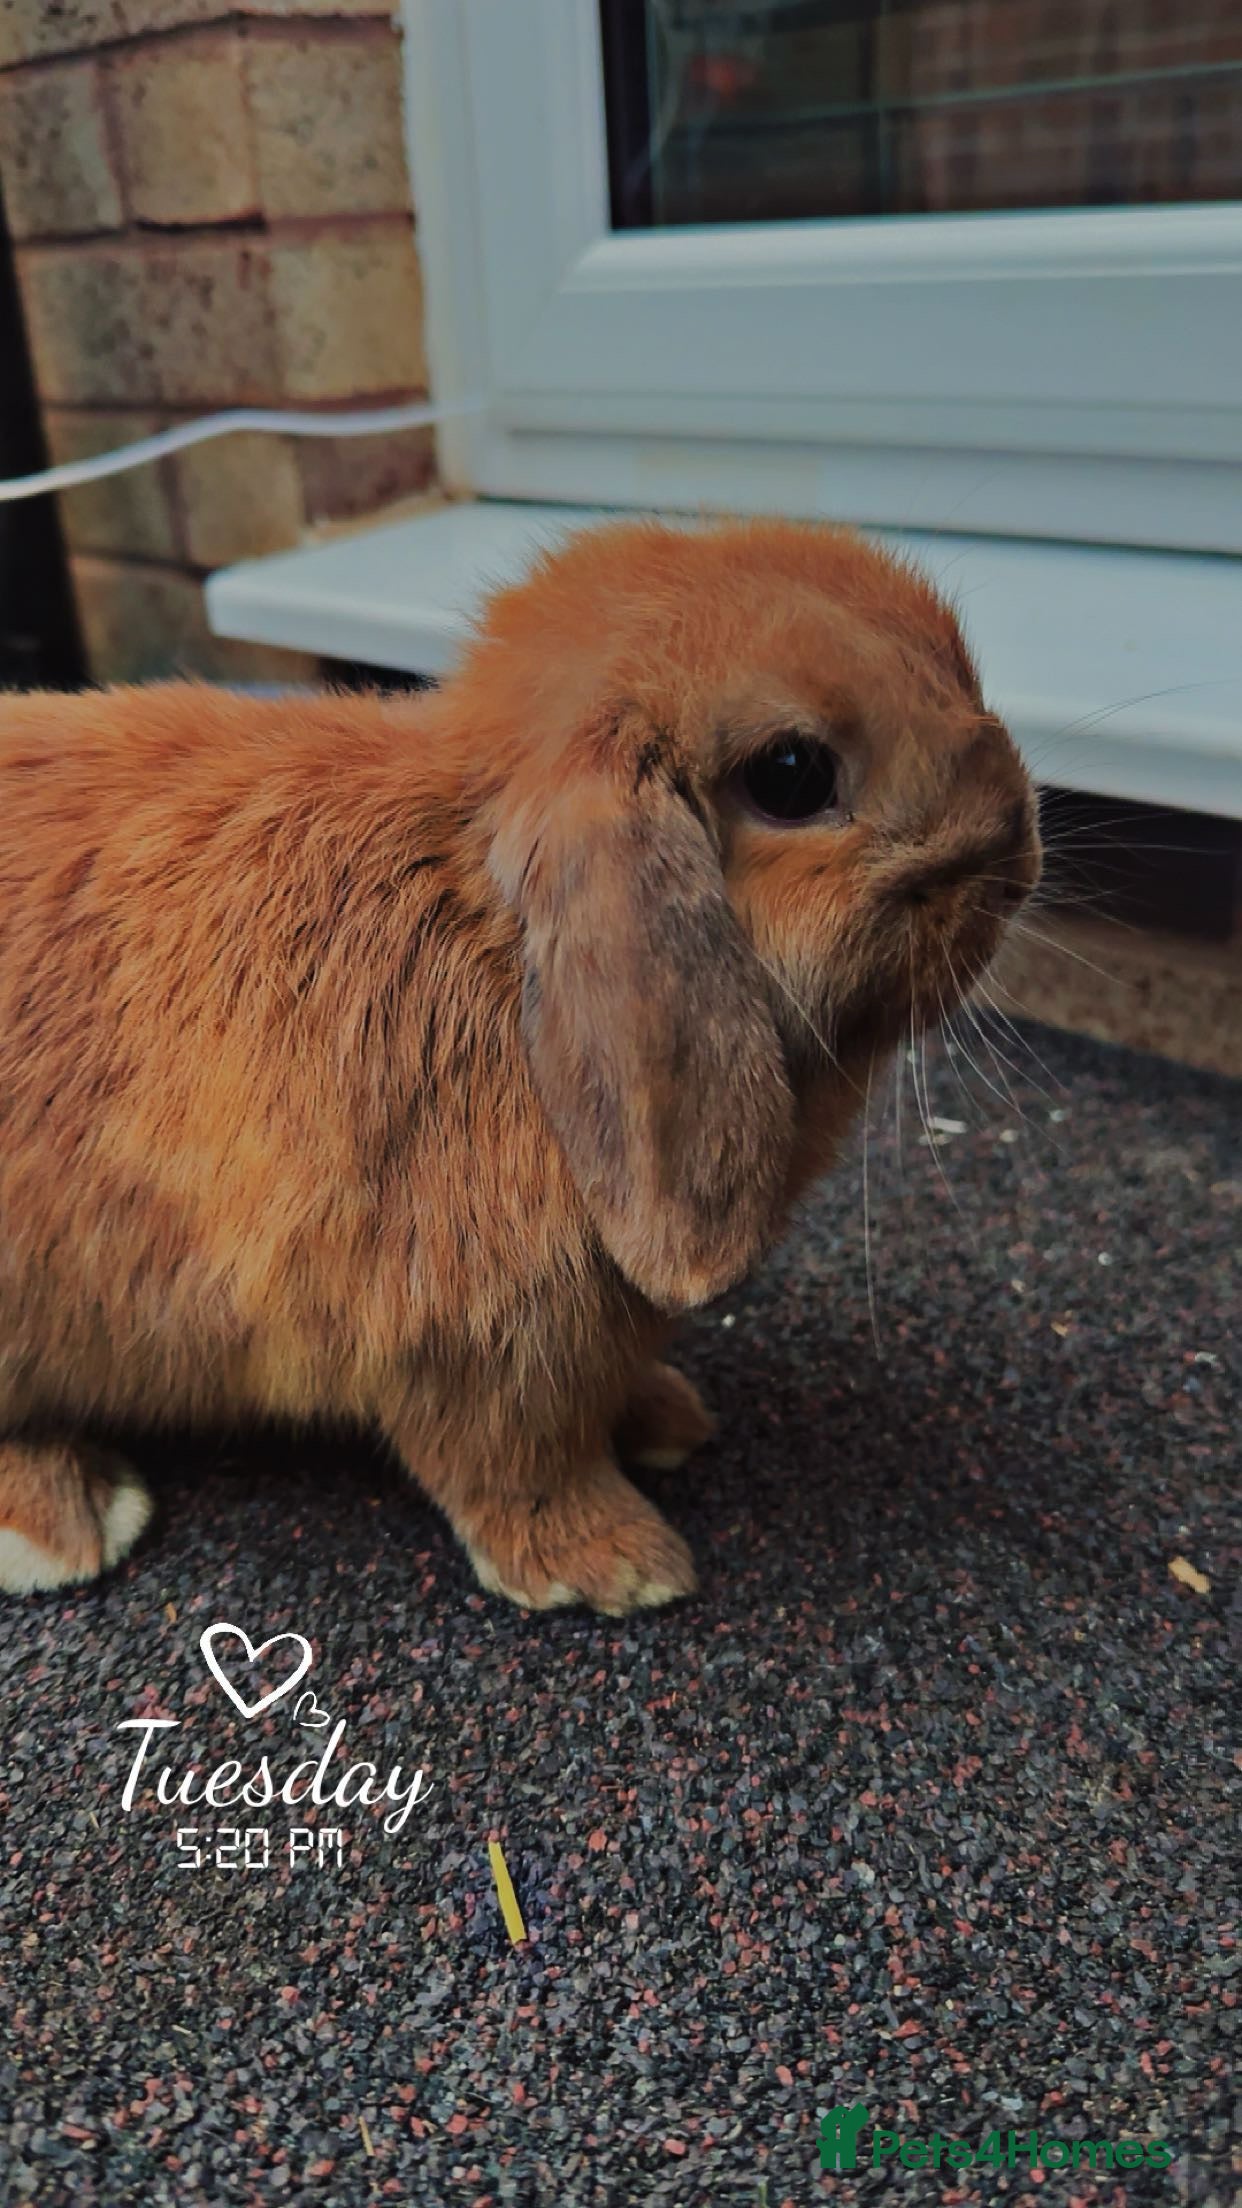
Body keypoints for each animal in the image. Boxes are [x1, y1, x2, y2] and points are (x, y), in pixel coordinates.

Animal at [0, 517, 1040, 1612]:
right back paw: (62, 1521)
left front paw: (667, 1419)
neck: (490, 936)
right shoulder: (479, 1343)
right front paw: (615, 1565)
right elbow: (515, 1463)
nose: (1019, 847)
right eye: (793, 774)